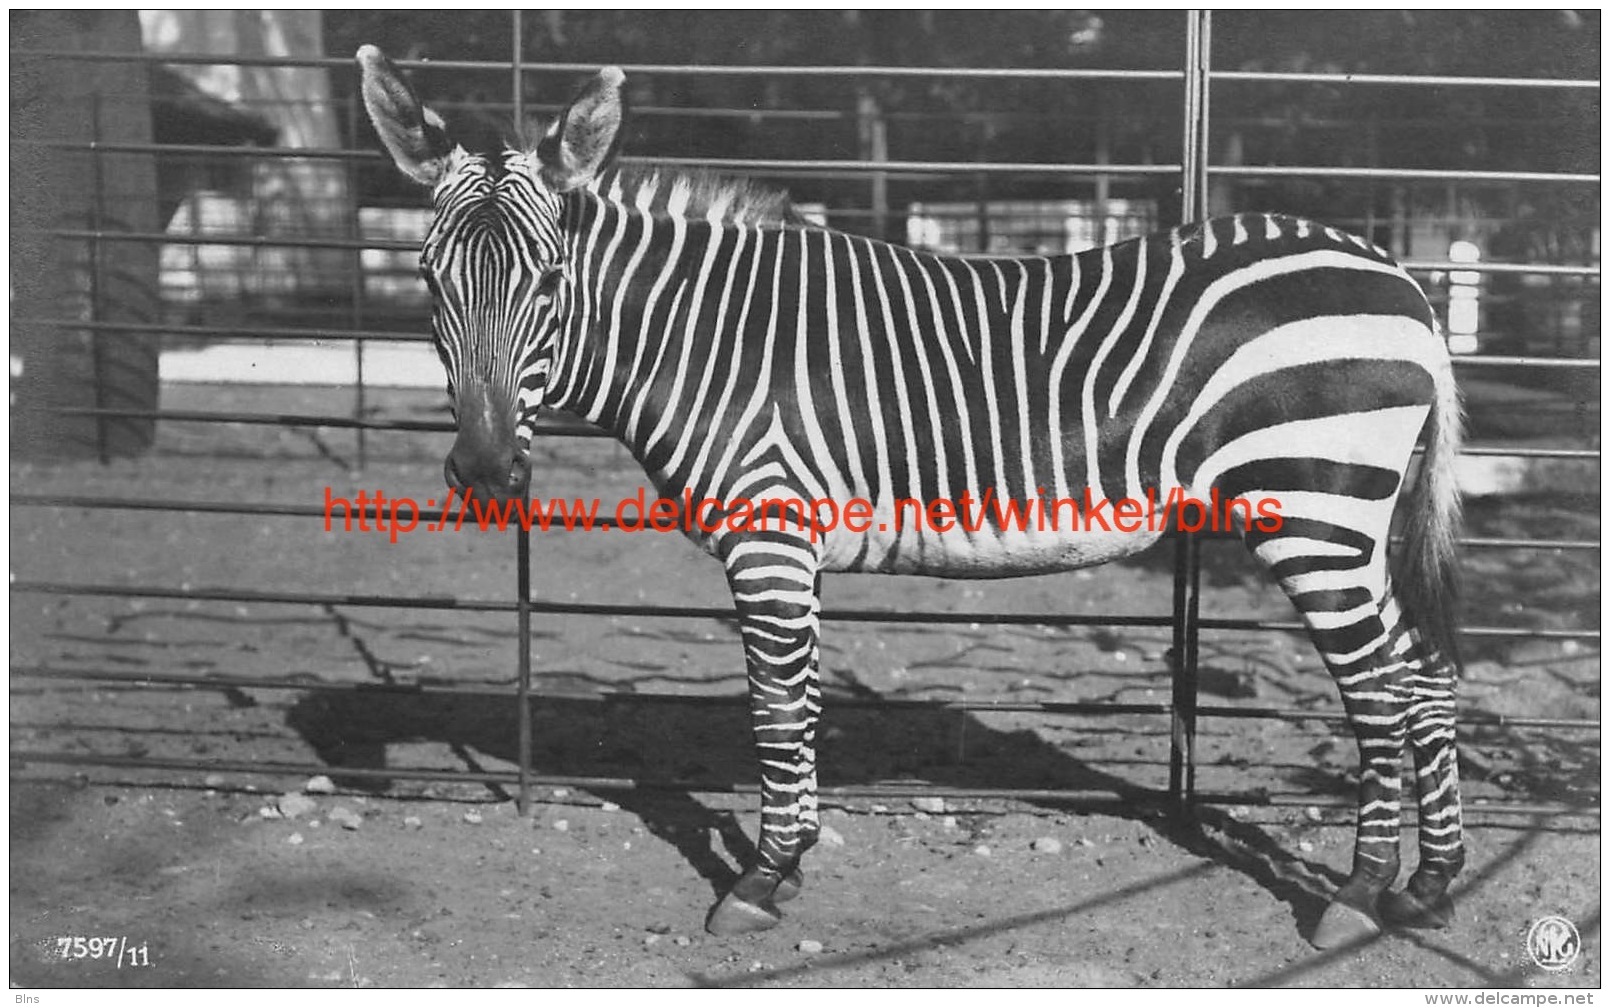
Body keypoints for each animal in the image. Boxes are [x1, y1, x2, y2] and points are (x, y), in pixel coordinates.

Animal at [358, 46, 1465, 950]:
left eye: (548, 280)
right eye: (428, 280)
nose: (485, 472)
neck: (701, 341)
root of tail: (1399, 277)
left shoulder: (767, 533)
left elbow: (773, 711)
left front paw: (758, 881)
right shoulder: (793, 546)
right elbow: (801, 704)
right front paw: (792, 863)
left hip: (1313, 509)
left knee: (1378, 687)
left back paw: (1356, 896)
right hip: (1353, 523)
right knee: (1425, 675)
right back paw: (1429, 887)